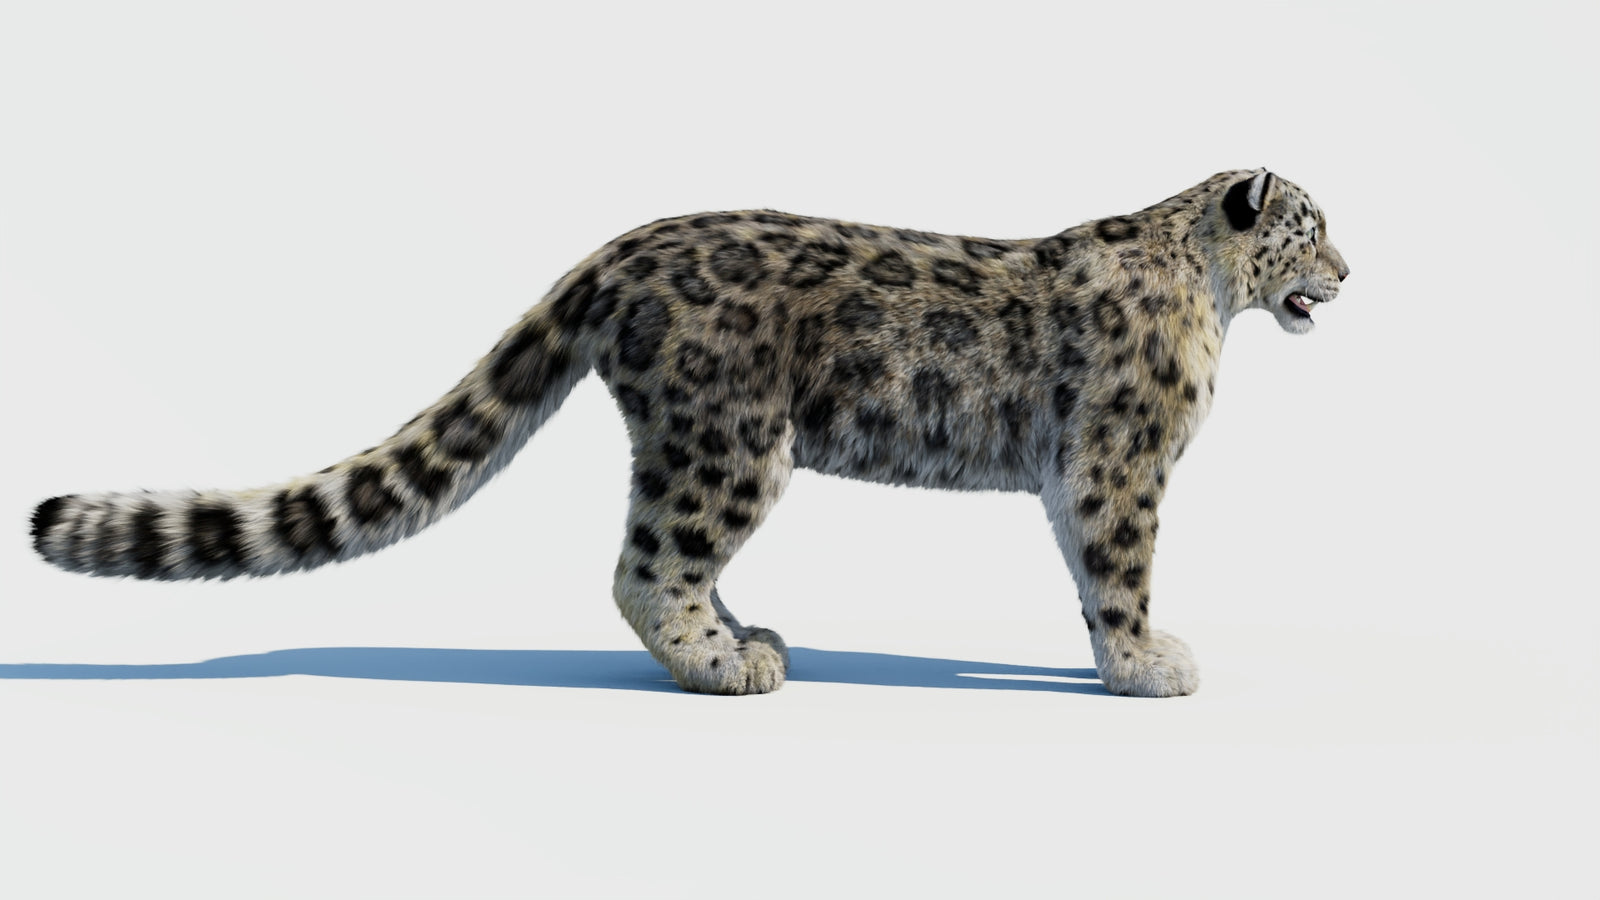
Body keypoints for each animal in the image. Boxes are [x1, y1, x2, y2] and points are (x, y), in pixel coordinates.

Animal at [29, 169, 1349, 697]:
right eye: (1312, 225)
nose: (1349, 271)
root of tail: (618, 251)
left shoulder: (1082, 472)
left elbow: (1085, 572)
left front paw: (1118, 658)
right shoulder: (1119, 460)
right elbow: (1117, 568)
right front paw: (1144, 664)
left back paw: (746, 633)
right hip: (729, 442)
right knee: (647, 560)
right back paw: (723, 665)